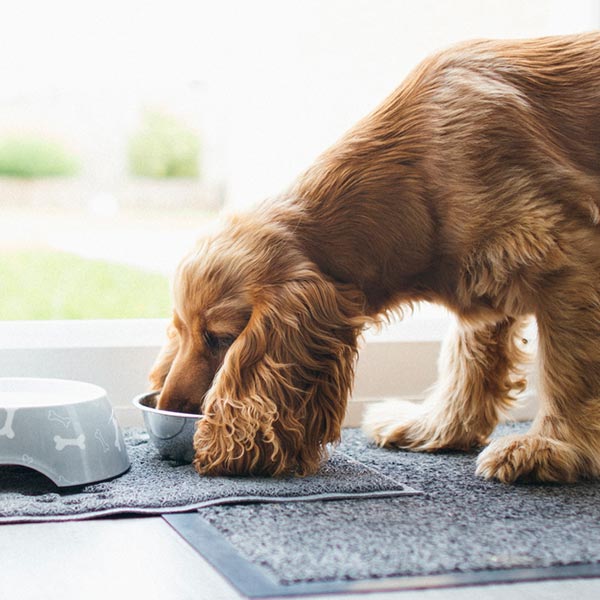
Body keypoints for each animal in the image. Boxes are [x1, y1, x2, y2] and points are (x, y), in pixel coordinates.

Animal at [150, 32, 600, 482]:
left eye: (221, 338)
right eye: (181, 330)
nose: (165, 407)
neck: (417, 179)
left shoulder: (568, 259)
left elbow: (567, 371)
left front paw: (550, 446)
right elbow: (467, 356)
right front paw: (438, 426)